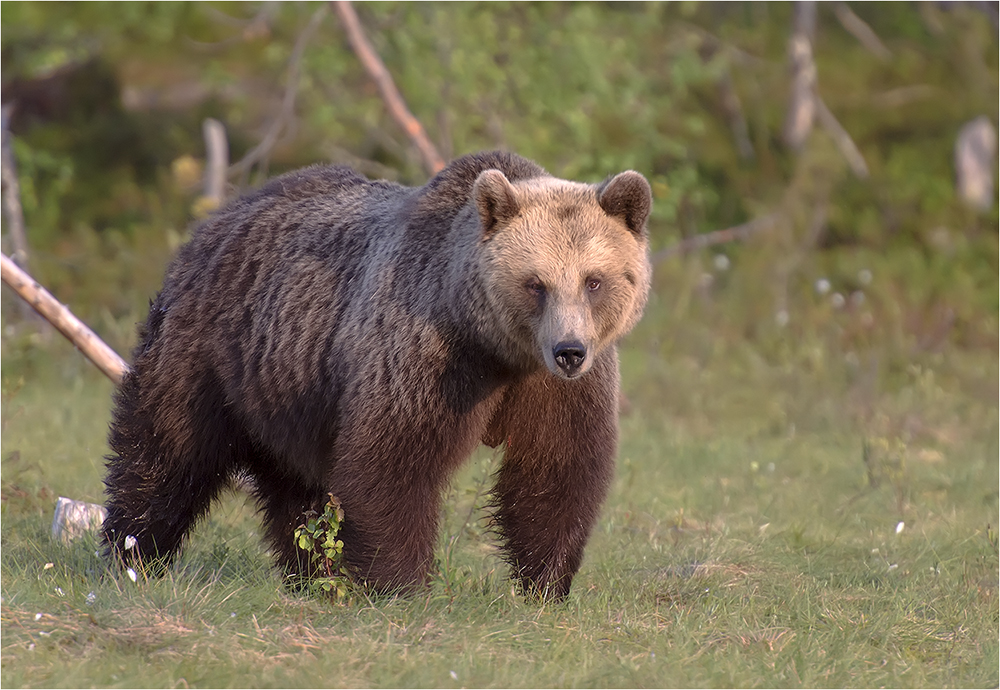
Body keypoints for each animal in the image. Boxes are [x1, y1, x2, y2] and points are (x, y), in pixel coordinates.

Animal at [99, 149, 648, 596]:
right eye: (536, 283)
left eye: (593, 280)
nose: (569, 351)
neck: (498, 349)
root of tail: (219, 217)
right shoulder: (427, 354)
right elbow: (392, 461)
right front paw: (399, 585)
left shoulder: (555, 388)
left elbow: (556, 468)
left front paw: (545, 584)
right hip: (207, 352)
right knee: (166, 452)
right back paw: (131, 555)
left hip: (290, 388)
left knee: (297, 494)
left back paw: (312, 576)